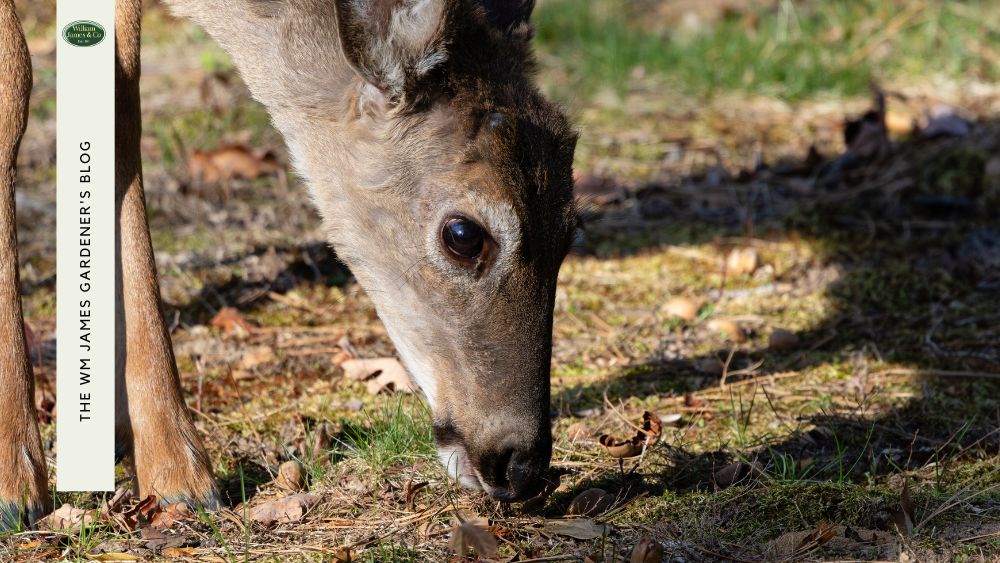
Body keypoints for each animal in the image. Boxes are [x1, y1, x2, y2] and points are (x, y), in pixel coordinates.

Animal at [0, 0, 577, 528]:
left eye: (571, 230)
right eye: (463, 234)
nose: (523, 466)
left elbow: (122, 95)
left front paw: (177, 471)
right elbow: (16, 79)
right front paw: (15, 484)